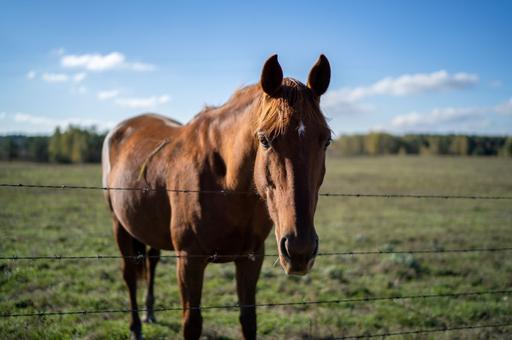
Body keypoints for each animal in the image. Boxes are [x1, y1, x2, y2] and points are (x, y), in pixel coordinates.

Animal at [101, 54, 332, 338]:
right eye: (265, 140)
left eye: (326, 140)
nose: (300, 250)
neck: (226, 185)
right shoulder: (189, 262)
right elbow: (192, 323)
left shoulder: (251, 259)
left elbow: (248, 320)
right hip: (119, 225)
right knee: (130, 275)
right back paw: (135, 327)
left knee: (150, 263)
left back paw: (150, 313)